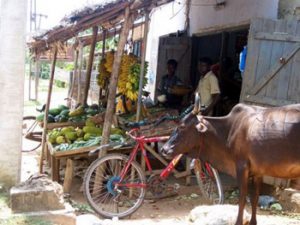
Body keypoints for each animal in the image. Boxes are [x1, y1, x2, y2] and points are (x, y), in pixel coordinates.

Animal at [162, 103, 300, 224]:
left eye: (182, 126)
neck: (228, 131)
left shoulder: (241, 167)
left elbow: (242, 199)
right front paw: (253, 222)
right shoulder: (258, 172)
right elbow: (254, 198)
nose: (164, 149)